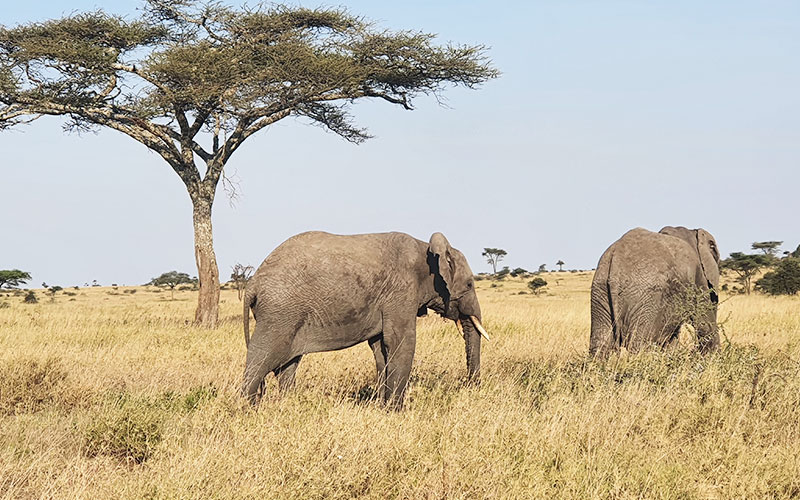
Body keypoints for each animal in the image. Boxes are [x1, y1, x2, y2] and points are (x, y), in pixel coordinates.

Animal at [239, 232, 488, 408]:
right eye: (469, 284)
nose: (468, 385)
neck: (425, 250)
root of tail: (253, 283)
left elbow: (381, 348)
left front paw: (381, 406)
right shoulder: (401, 291)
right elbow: (401, 342)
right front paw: (395, 412)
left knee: (287, 366)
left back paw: (289, 405)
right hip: (280, 313)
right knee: (262, 359)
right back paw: (247, 409)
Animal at [588, 225, 724, 358]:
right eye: (713, 249)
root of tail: (616, 261)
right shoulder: (696, 276)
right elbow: (704, 323)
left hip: (600, 291)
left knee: (601, 343)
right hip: (646, 296)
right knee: (638, 344)